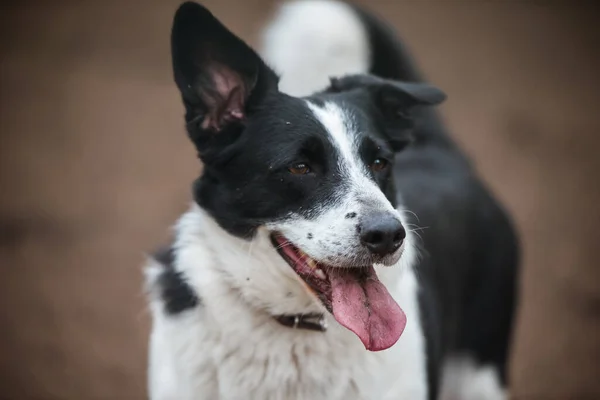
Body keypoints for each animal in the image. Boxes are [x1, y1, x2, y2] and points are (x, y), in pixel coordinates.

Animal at [145, 1, 520, 398]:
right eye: (299, 167)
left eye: (380, 162)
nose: (387, 235)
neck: (297, 324)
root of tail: (441, 151)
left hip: (482, 369)